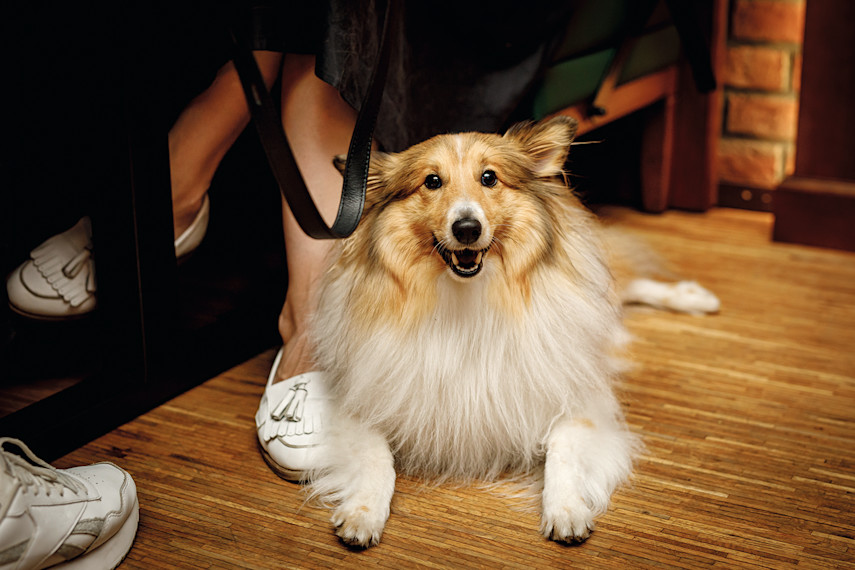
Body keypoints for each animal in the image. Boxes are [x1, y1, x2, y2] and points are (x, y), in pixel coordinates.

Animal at [308, 115, 724, 544]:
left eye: (489, 177)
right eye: (432, 181)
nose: (468, 228)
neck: (467, 299)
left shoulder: (576, 401)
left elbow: (563, 452)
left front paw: (566, 509)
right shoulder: (360, 401)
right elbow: (376, 458)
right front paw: (362, 513)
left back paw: (694, 298)